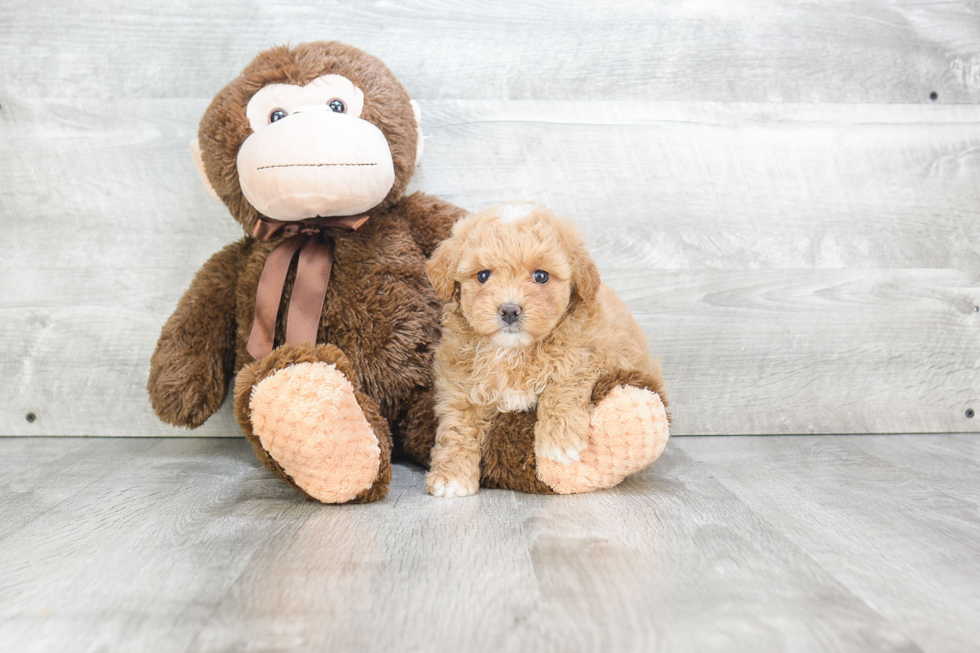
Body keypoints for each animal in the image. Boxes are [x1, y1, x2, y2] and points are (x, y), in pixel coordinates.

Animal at [424, 201, 668, 496]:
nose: (510, 310)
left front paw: (559, 442)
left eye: (541, 276)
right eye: (483, 275)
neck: (513, 351)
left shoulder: (593, 353)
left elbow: (564, 382)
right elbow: (457, 427)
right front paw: (452, 476)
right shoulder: (458, 386)